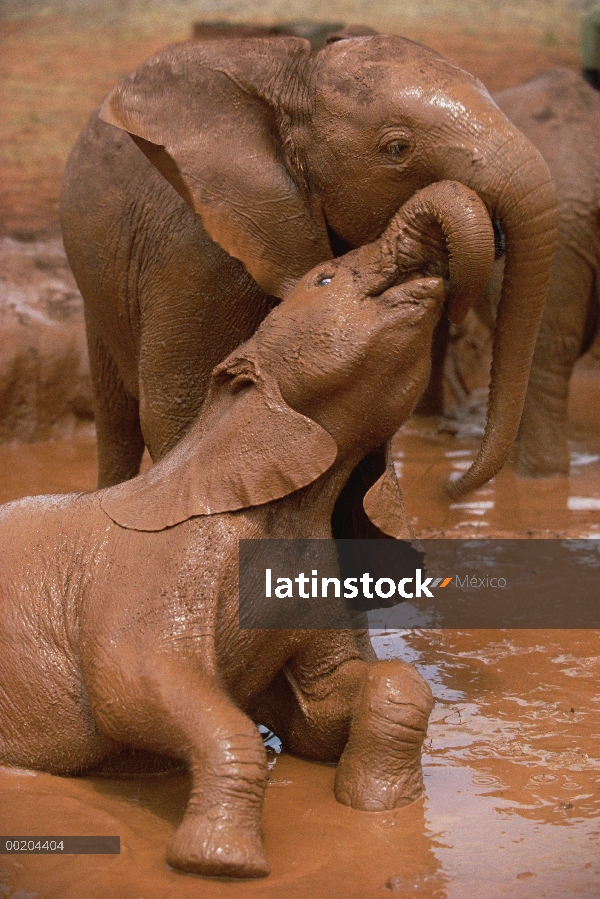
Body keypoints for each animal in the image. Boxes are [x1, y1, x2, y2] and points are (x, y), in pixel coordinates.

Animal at [0, 183, 494, 880]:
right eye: (324, 277)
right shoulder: (158, 573)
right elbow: (133, 688)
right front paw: (222, 865)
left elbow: (330, 700)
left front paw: (381, 807)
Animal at [61, 31, 556, 502]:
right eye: (397, 148)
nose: (446, 490)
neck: (295, 82)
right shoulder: (196, 256)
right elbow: (180, 411)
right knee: (117, 419)